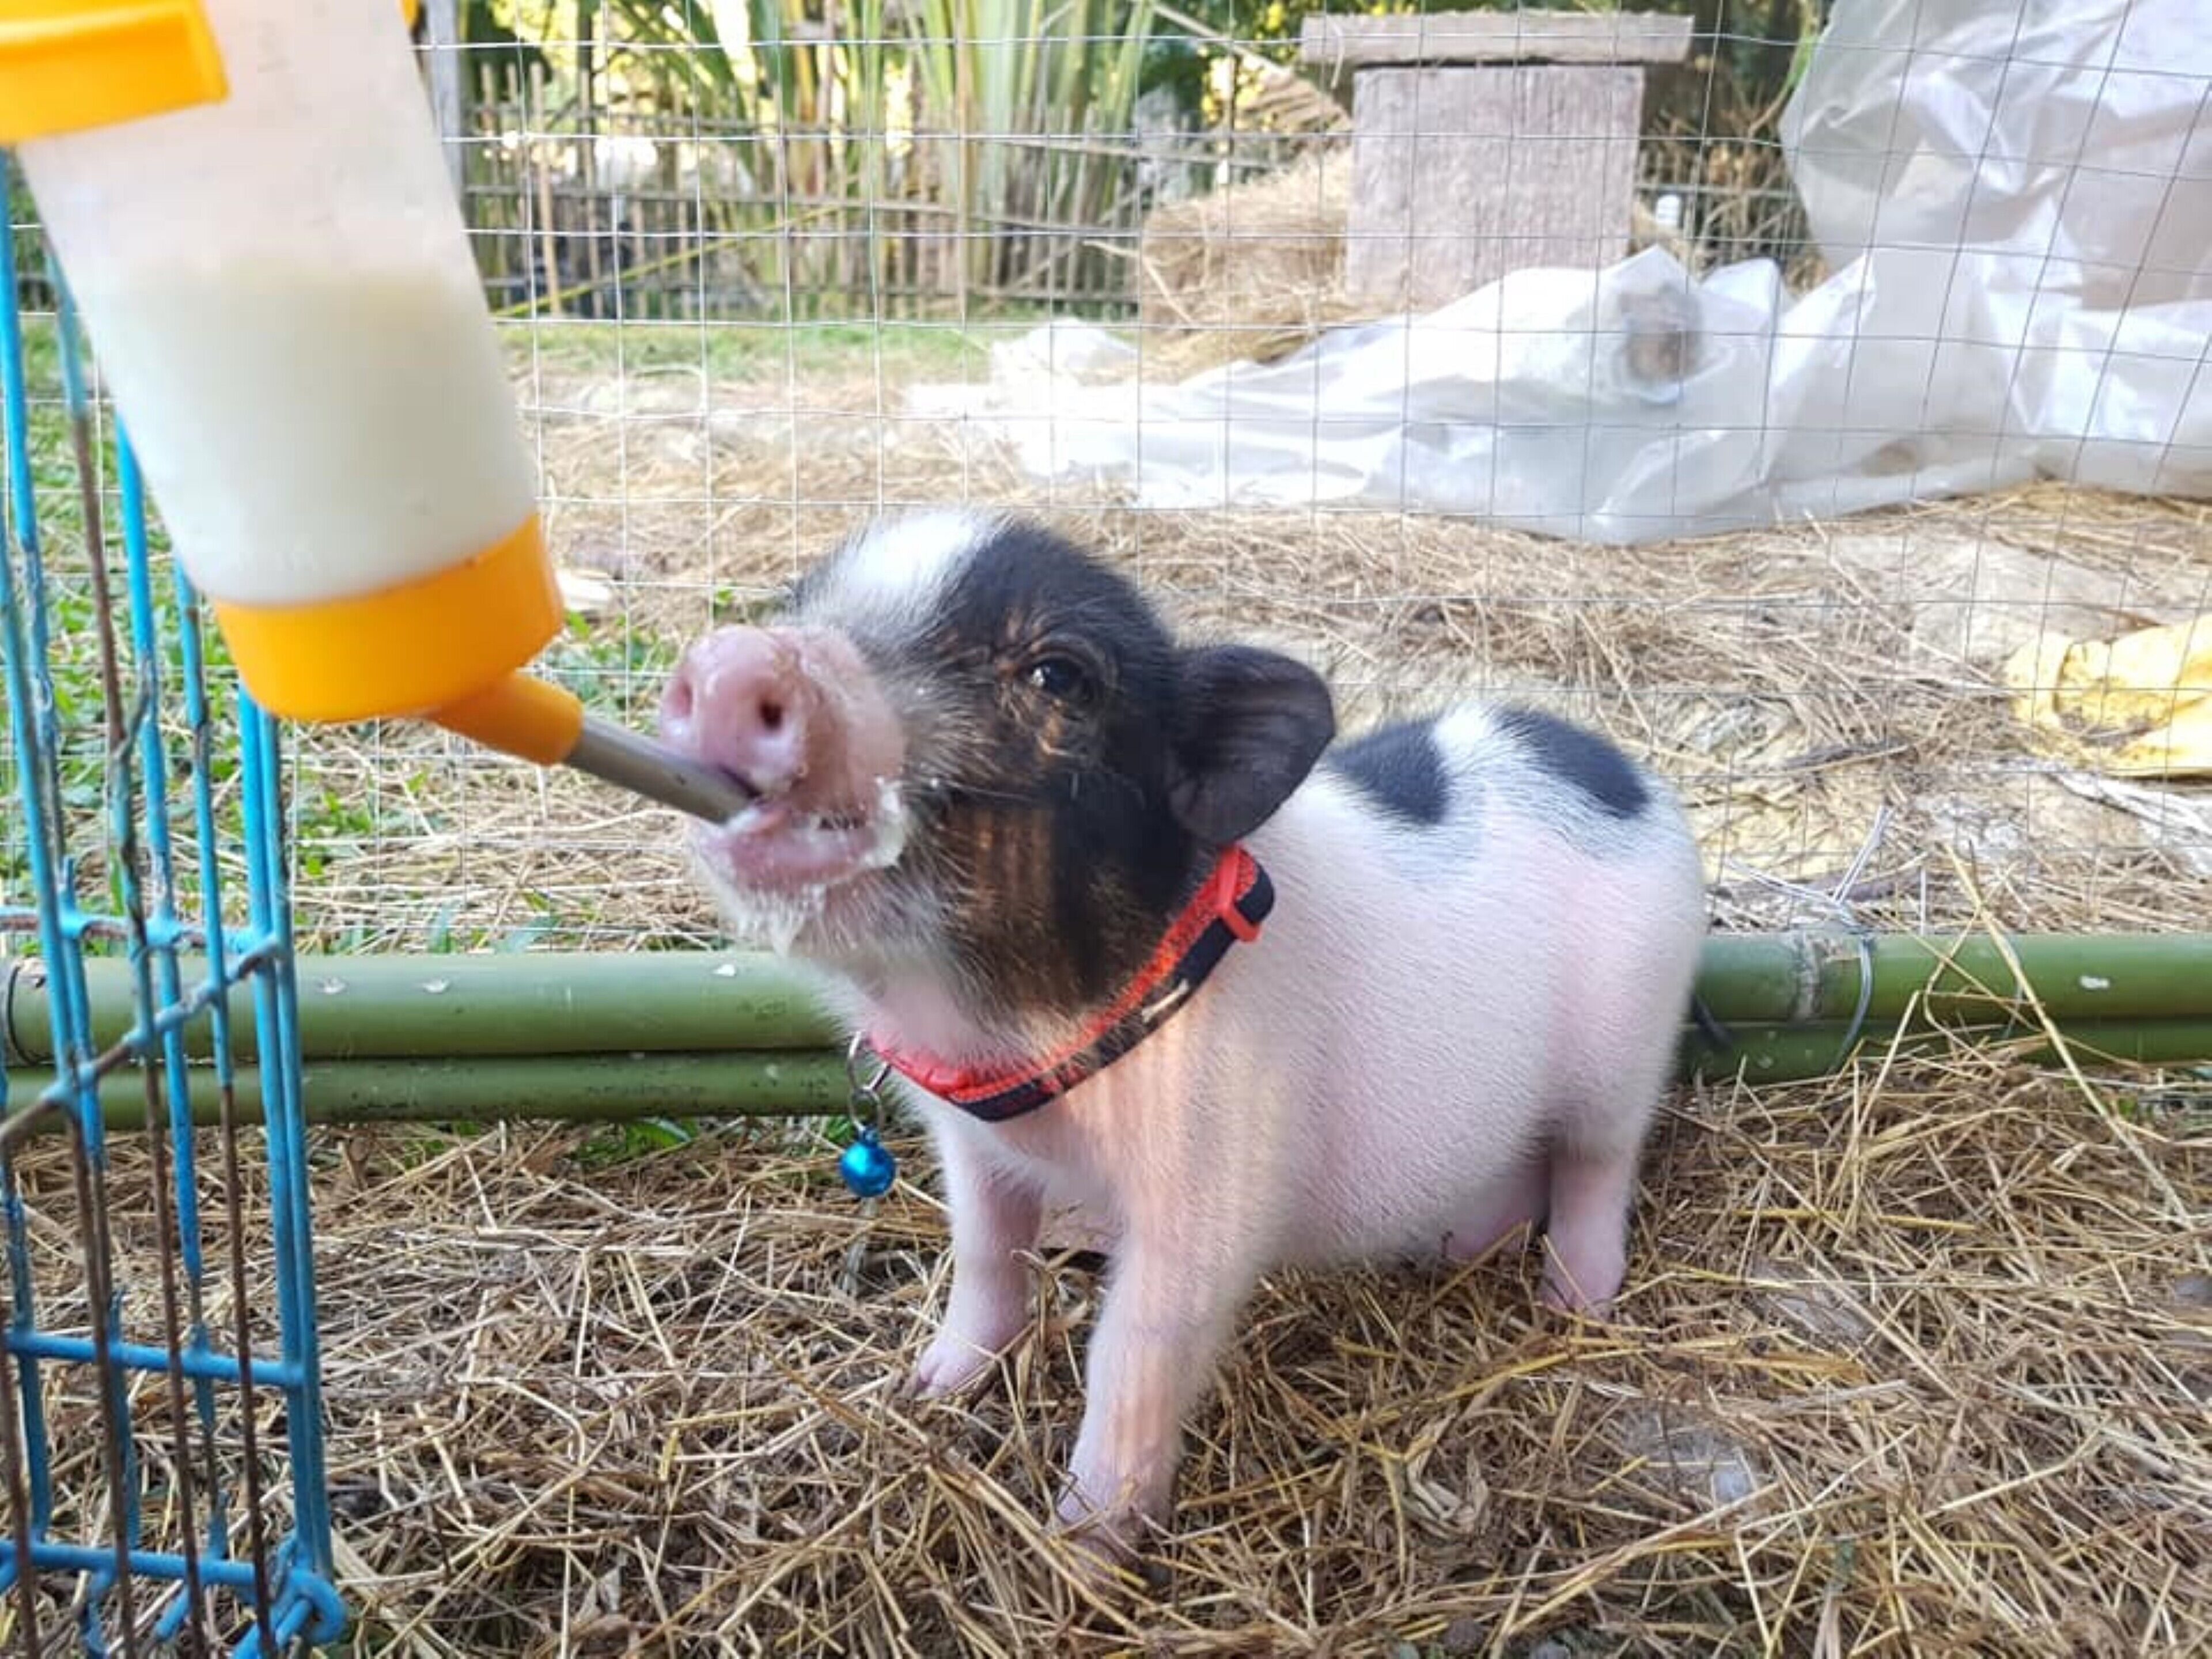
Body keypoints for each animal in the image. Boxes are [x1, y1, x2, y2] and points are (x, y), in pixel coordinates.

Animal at [659, 511, 1707, 1552]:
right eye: (800, 605)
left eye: (1059, 677)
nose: (738, 658)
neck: (1007, 1029)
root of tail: (1631, 777)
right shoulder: (970, 1143)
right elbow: (985, 1252)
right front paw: (929, 1388)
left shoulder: (1214, 1168)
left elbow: (1136, 1347)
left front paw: (1085, 1547)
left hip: (1631, 1037)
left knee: (1597, 1164)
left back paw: (1576, 1298)